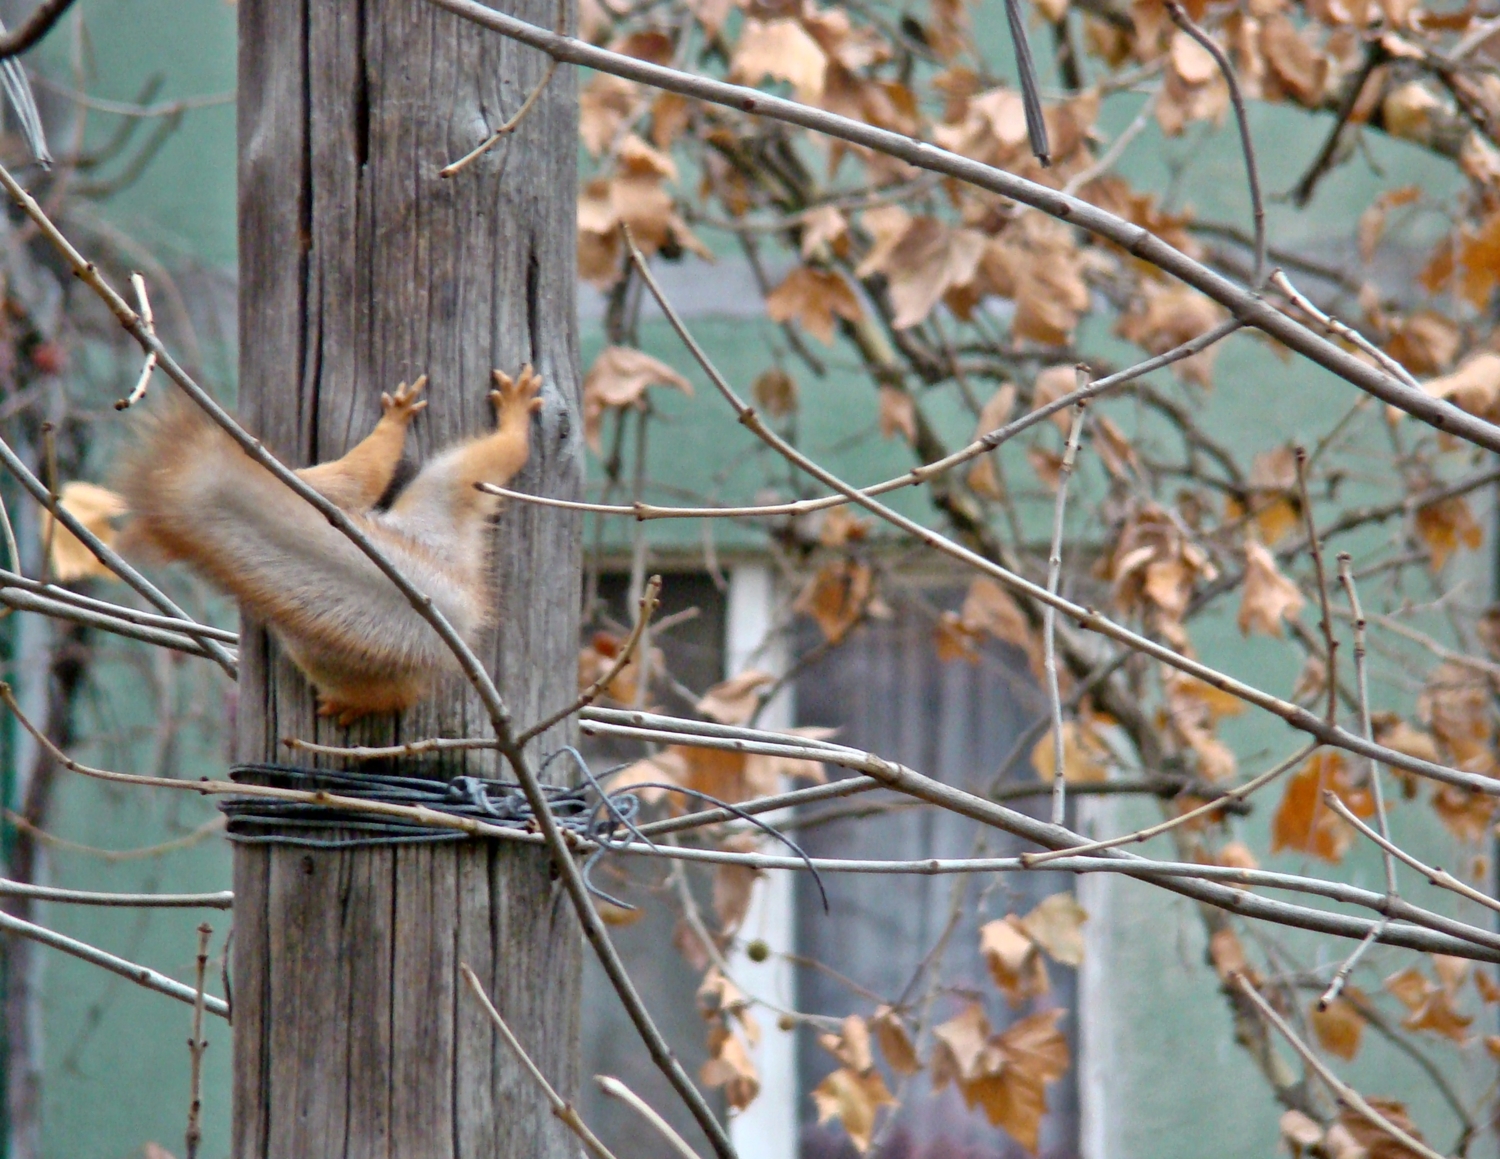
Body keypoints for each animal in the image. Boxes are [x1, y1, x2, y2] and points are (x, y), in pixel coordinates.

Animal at [118, 365, 546, 719]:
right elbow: (364, 476)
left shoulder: (314, 483)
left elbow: (361, 476)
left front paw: (394, 417)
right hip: (448, 494)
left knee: (508, 449)